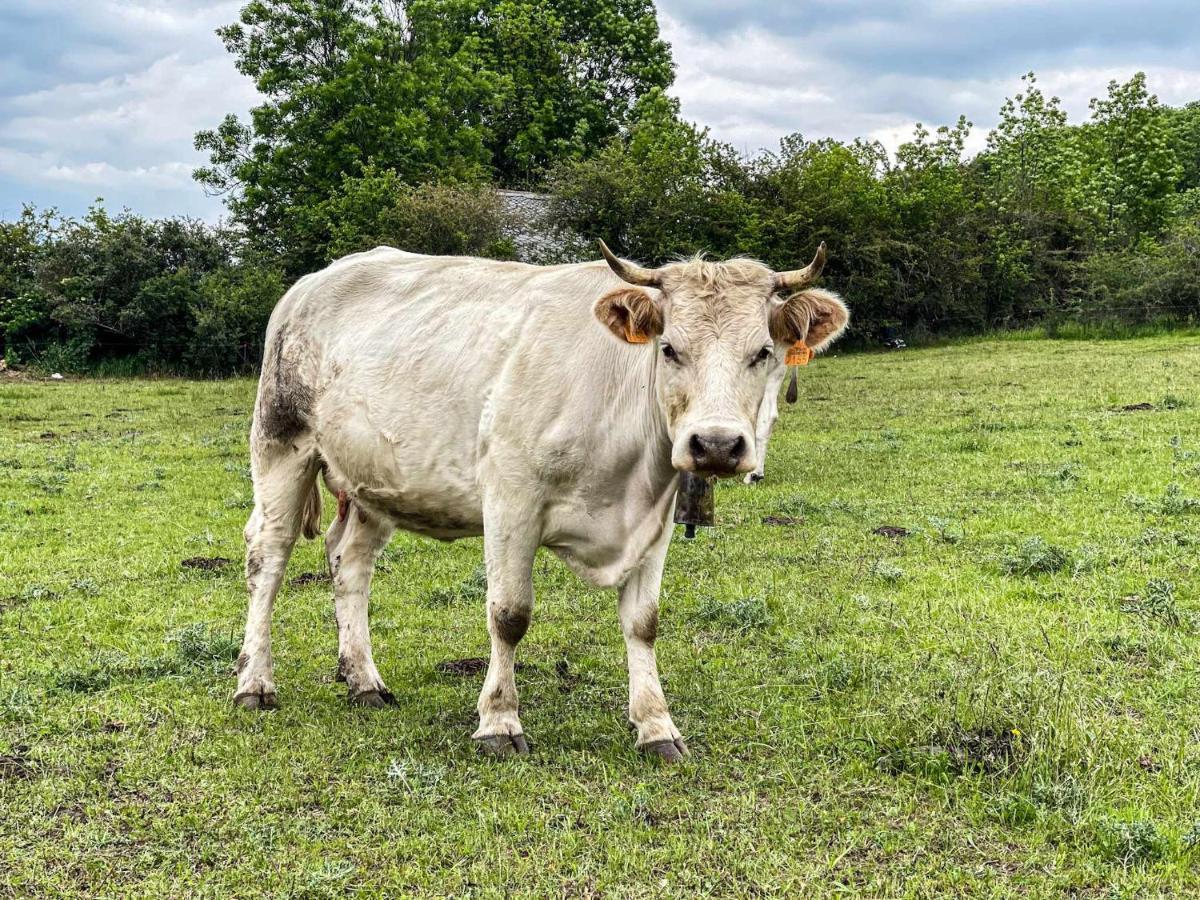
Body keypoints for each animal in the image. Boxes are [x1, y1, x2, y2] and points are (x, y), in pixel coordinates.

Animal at [234, 241, 849, 763]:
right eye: (670, 348)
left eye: (762, 352)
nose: (716, 445)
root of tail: (314, 281)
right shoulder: (511, 498)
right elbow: (509, 615)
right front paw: (499, 721)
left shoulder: (655, 519)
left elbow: (643, 623)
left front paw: (656, 725)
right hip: (281, 443)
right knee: (268, 559)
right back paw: (254, 683)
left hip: (373, 480)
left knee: (350, 562)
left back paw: (362, 679)